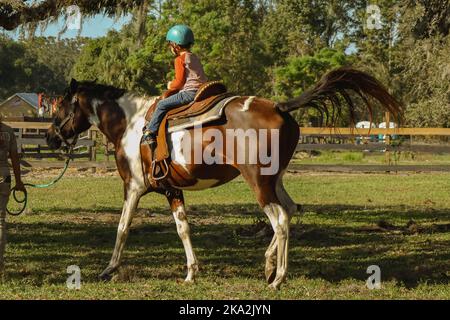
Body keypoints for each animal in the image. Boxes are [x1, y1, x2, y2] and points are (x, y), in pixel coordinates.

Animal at [45, 68, 400, 290]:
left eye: (59, 106)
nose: (50, 138)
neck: (130, 123)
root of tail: (279, 107)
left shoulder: (133, 187)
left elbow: (122, 228)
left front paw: (109, 269)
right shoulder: (172, 190)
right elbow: (183, 229)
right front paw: (191, 273)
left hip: (259, 183)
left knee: (280, 220)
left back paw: (279, 277)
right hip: (275, 181)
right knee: (290, 211)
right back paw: (269, 265)